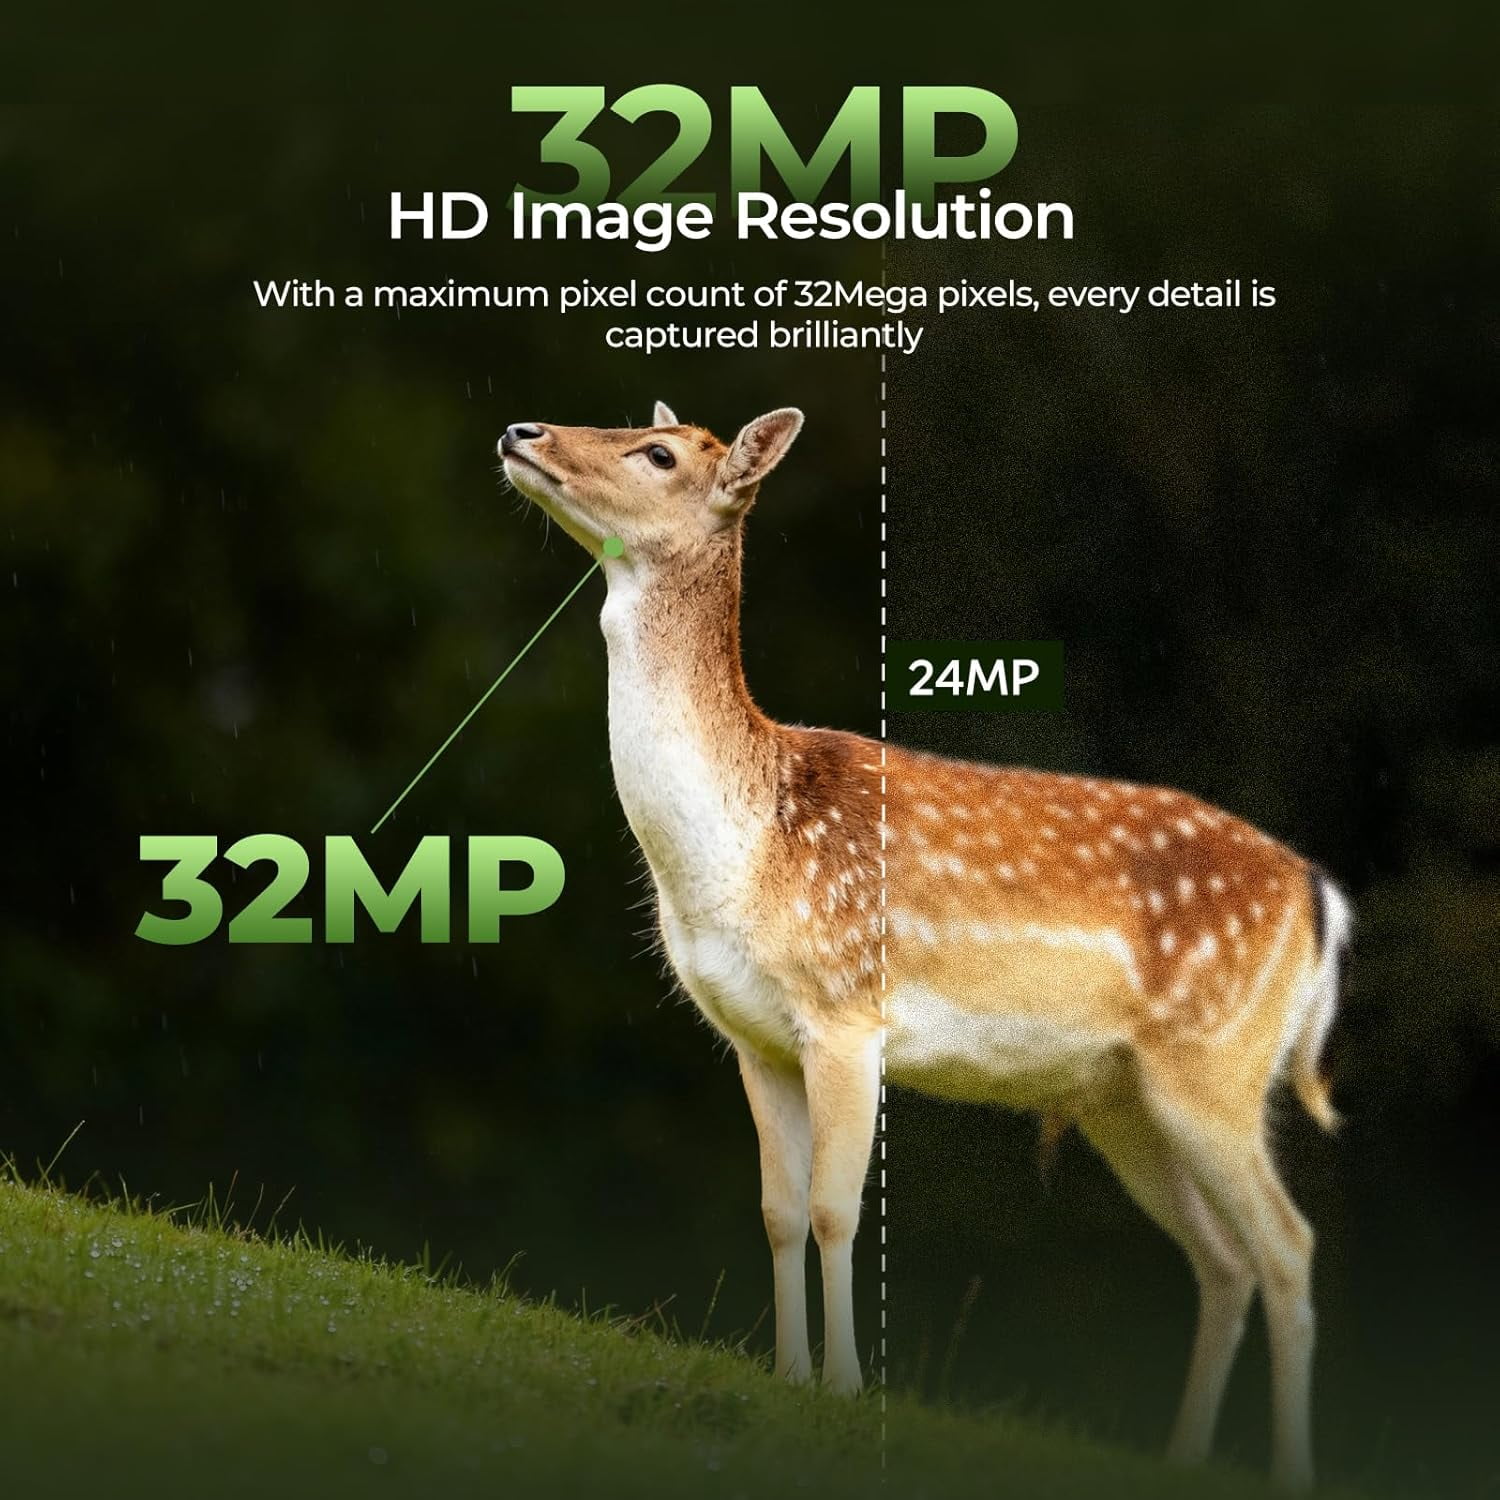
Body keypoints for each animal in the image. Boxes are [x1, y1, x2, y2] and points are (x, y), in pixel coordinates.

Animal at [498, 402, 1351, 1490]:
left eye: (658, 453)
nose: (522, 431)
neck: (741, 846)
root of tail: (1318, 896)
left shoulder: (847, 1009)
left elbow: (835, 1208)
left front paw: (845, 1389)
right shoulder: (753, 1037)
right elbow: (779, 1210)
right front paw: (787, 1375)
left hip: (1217, 1065)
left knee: (1289, 1245)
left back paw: (1286, 1470)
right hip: (1126, 1097)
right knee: (1226, 1259)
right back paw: (1183, 1458)